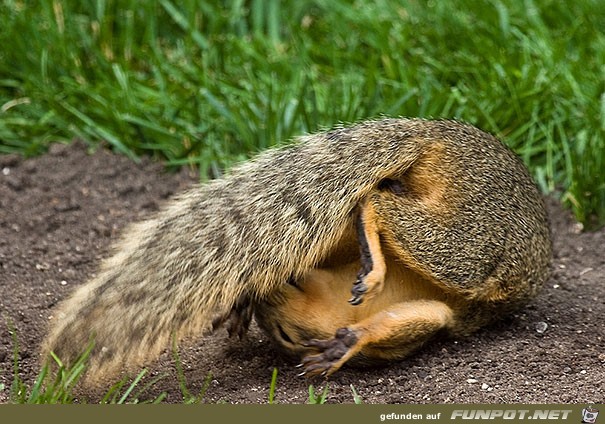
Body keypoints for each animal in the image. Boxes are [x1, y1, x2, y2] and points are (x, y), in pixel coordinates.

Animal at [41, 117, 552, 384]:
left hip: (471, 237)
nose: (267, 299)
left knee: (373, 201)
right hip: (473, 242)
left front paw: (345, 344)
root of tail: (440, 134)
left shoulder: (430, 313)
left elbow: (405, 320)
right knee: (375, 199)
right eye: (286, 337)